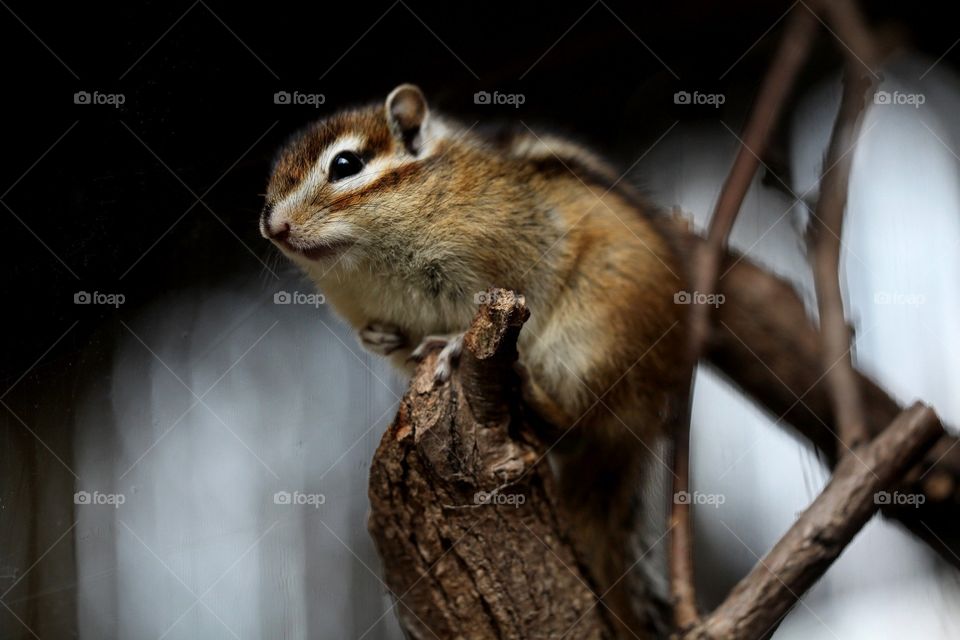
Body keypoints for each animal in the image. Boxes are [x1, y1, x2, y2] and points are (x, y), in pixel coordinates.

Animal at [261, 84, 691, 637]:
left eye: (345, 164)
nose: (273, 227)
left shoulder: (515, 261)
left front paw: (453, 344)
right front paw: (380, 339)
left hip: (591, 344)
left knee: (581, 419)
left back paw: (529, 390)